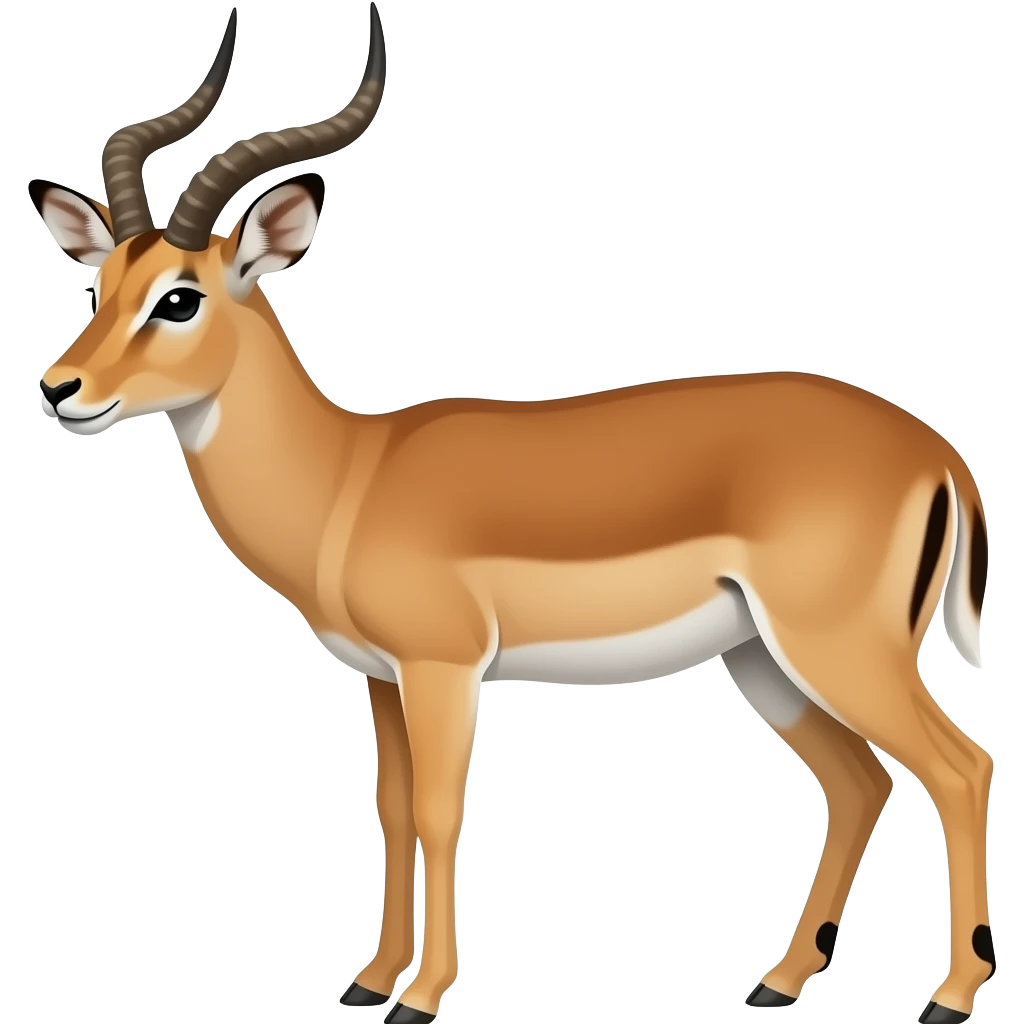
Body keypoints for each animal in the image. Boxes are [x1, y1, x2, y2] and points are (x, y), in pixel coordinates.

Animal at [28, 5, 994, 1023]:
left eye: (178, 300)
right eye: (99, 288)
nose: (60, 389)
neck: (350, 476)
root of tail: (936, 453)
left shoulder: (445, 669)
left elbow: (441, 811)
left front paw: (421, 995)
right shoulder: (382, 678)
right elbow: (392, 808)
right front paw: (368, 981)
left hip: (841, 648)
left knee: (959, 766)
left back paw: (951, 993)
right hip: (762, 658)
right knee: (860, 782)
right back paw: (780, 981)